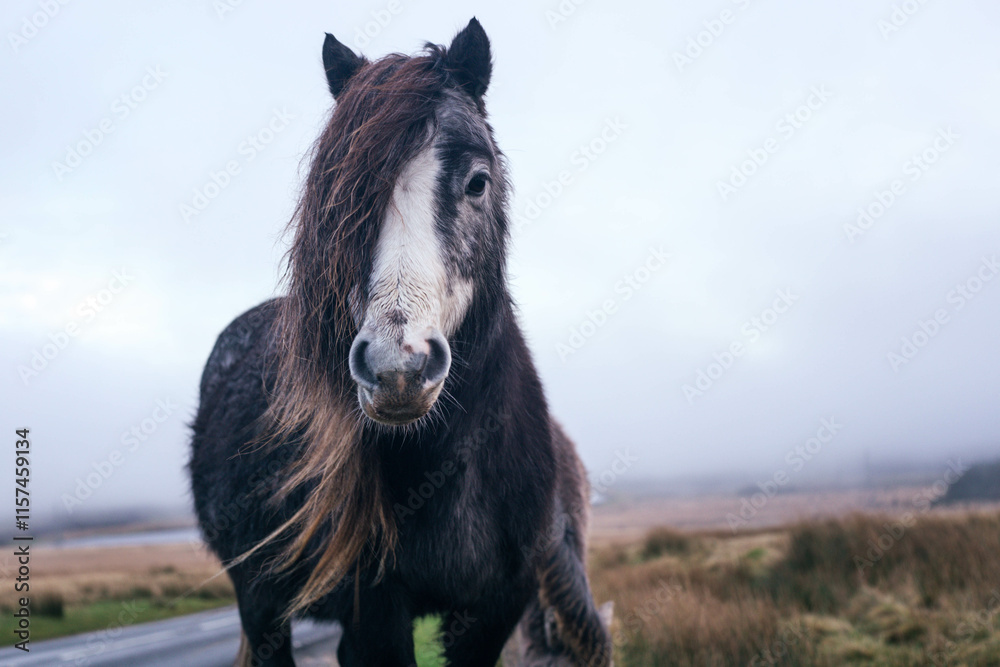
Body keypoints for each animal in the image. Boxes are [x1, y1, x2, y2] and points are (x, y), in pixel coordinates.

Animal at [188, 18, 613, 666]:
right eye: (341, 197)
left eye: (478, 182)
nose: (397, 368)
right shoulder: (376, 614)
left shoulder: (496, 609)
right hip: (260, 605)